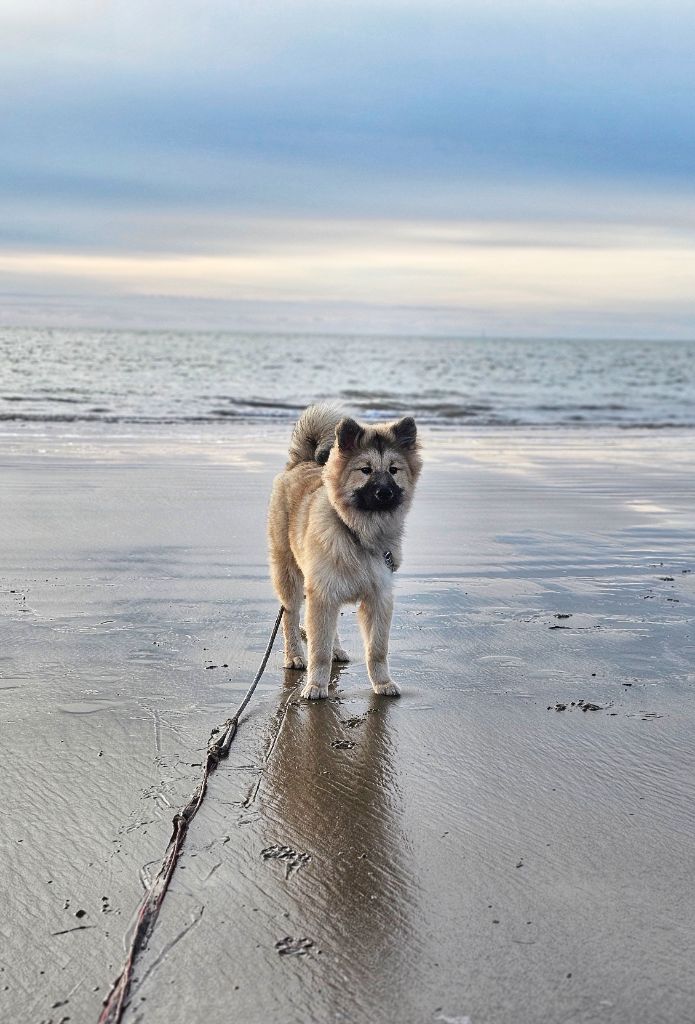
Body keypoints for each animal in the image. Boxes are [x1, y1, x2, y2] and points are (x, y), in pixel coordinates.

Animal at [266, 403, 421, 700]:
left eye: (394, 470)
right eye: (366, 470)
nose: (385, 493)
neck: (358, 533)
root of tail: (301, 462)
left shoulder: (378, 598)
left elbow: (377, 649)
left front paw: (382, 682)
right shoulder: (323, 593)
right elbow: (318, 650)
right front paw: (316, 685)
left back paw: (336, 650)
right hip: (289, 576)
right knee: (291, 617)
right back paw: (295, 656)